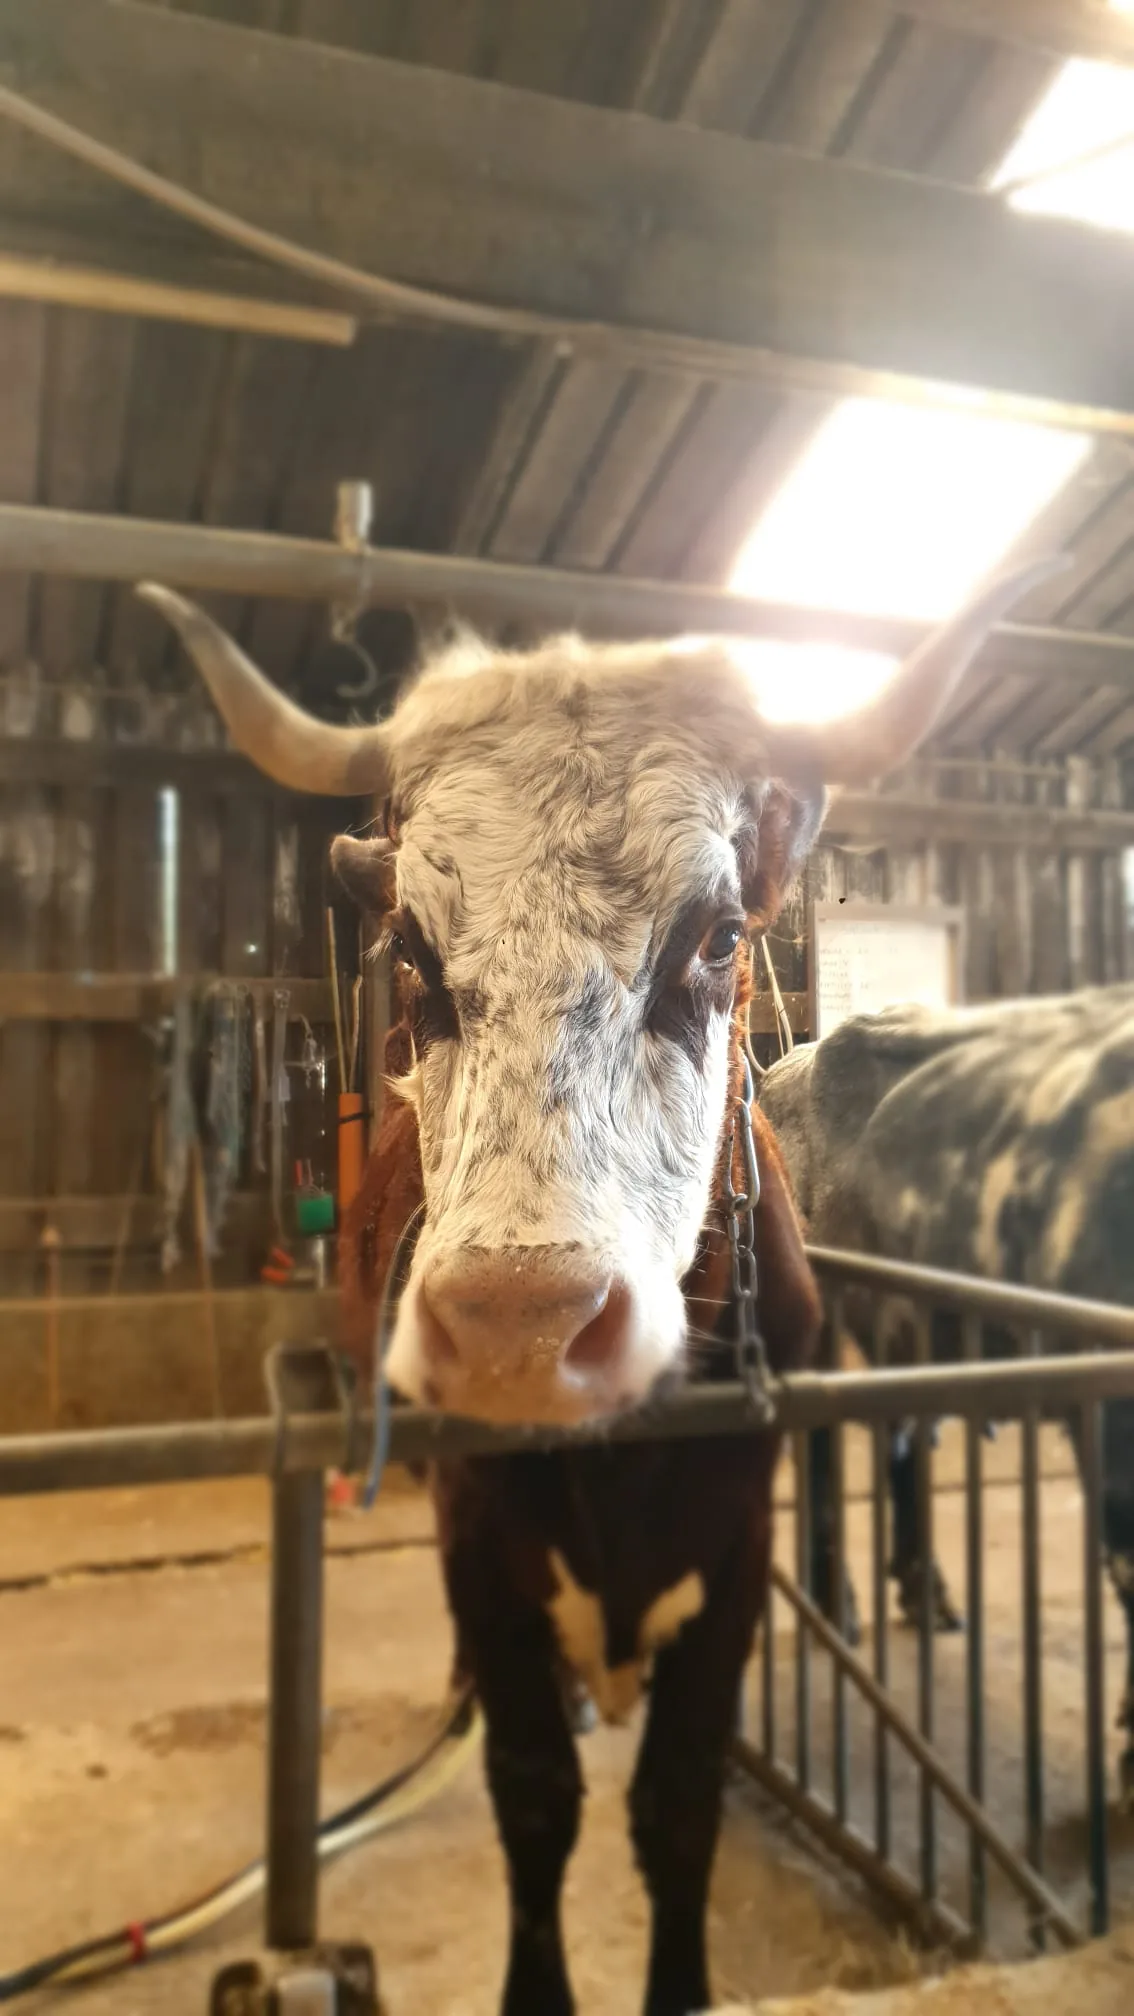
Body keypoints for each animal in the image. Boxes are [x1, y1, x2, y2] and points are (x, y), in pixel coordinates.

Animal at [139, 558, 1051, 2016]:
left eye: (722, 937)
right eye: (412, 950)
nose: (520, 1330)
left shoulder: (735, 1555)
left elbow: (677, 1807)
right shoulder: (481, 1545)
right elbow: (533, 1799)